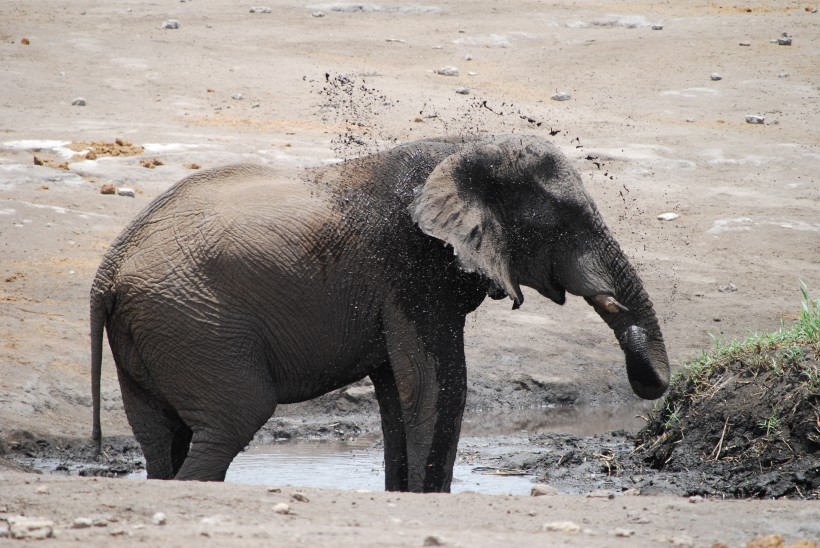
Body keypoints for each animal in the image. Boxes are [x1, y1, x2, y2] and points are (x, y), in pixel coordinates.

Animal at [89, 134, 668, 492]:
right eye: (566, 222)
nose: (650, 385)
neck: (465, 146)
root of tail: (107, 271)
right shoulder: (415, 269)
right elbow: (437, 387)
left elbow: (397, 392)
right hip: (196, 325)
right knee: (233, 419)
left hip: (157, 332)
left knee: (160, 438)